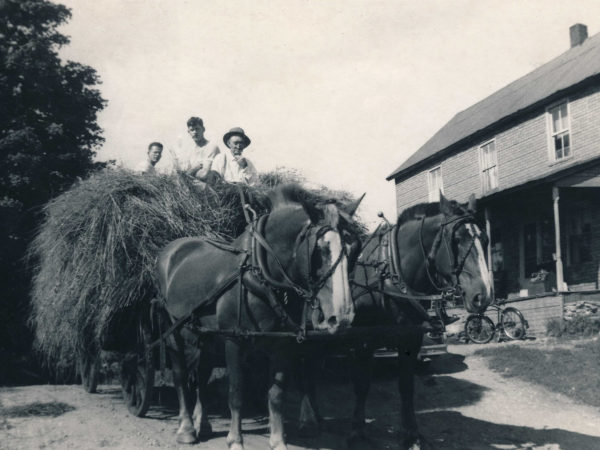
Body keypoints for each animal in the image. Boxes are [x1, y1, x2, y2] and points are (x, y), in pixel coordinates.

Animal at [156, 185, 360, 448]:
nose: (342, 316)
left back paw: (203, 424)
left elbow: (276, 394)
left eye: (354, 250)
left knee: (201, 375)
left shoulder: (282, 345)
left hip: (206, 335)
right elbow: (236, 392)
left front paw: (278, 441)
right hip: (174, 330)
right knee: (180, 375)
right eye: (320, 250)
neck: (261, 272)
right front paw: (235, 440)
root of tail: (171, 250)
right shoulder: (233, 340)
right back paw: (186, 428)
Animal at [298, 192, 492, 448]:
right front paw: (357, 431)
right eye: (457, 239)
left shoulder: (410, 341)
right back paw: (307, 419)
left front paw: (411, 434)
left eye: (485, 239)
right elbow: (362, 384)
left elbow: (406, 386)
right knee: (305, 369)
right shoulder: (363, 343)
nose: (483, 295)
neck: (391, 276)